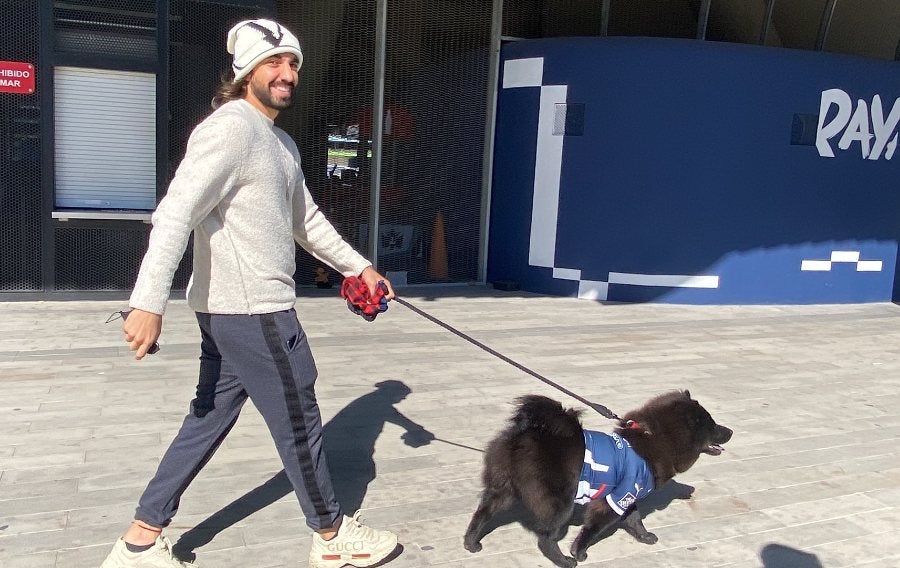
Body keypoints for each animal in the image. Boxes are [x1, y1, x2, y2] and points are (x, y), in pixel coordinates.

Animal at [464, 392, 732, 564]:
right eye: (712, 426)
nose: (730, 431)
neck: (655, 442)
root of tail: (526, 435)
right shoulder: (617, 496)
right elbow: (594, 528)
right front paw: (578, 552)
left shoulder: (628, 496)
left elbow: (635, 519)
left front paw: (645, 537)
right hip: (562, 501)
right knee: (546, 539)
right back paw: (564, 560)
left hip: (503, 488)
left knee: (482, 513)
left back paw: (471, 543)